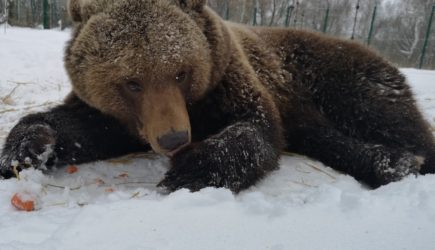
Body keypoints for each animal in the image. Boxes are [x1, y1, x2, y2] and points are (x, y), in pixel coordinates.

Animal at [0, 0, 435, 191]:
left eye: (181, 71)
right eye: (131, 81)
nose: (175, 138)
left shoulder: (230, 80)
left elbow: (257, 130)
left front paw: (191, 168)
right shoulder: (128, 116)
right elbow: (86, 127)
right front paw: (28, 146)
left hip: (336, 76)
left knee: (387, 116)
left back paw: (405, 159)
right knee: (322, 135)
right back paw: (389, 162)